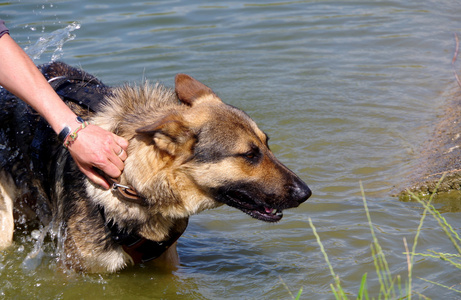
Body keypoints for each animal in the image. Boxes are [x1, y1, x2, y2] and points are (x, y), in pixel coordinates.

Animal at [0, 62, 312, 274]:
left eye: (267, 144)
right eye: (249, 155)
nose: (306, 193)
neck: (131, 185)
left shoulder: (167, 264)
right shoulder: (76, 273)